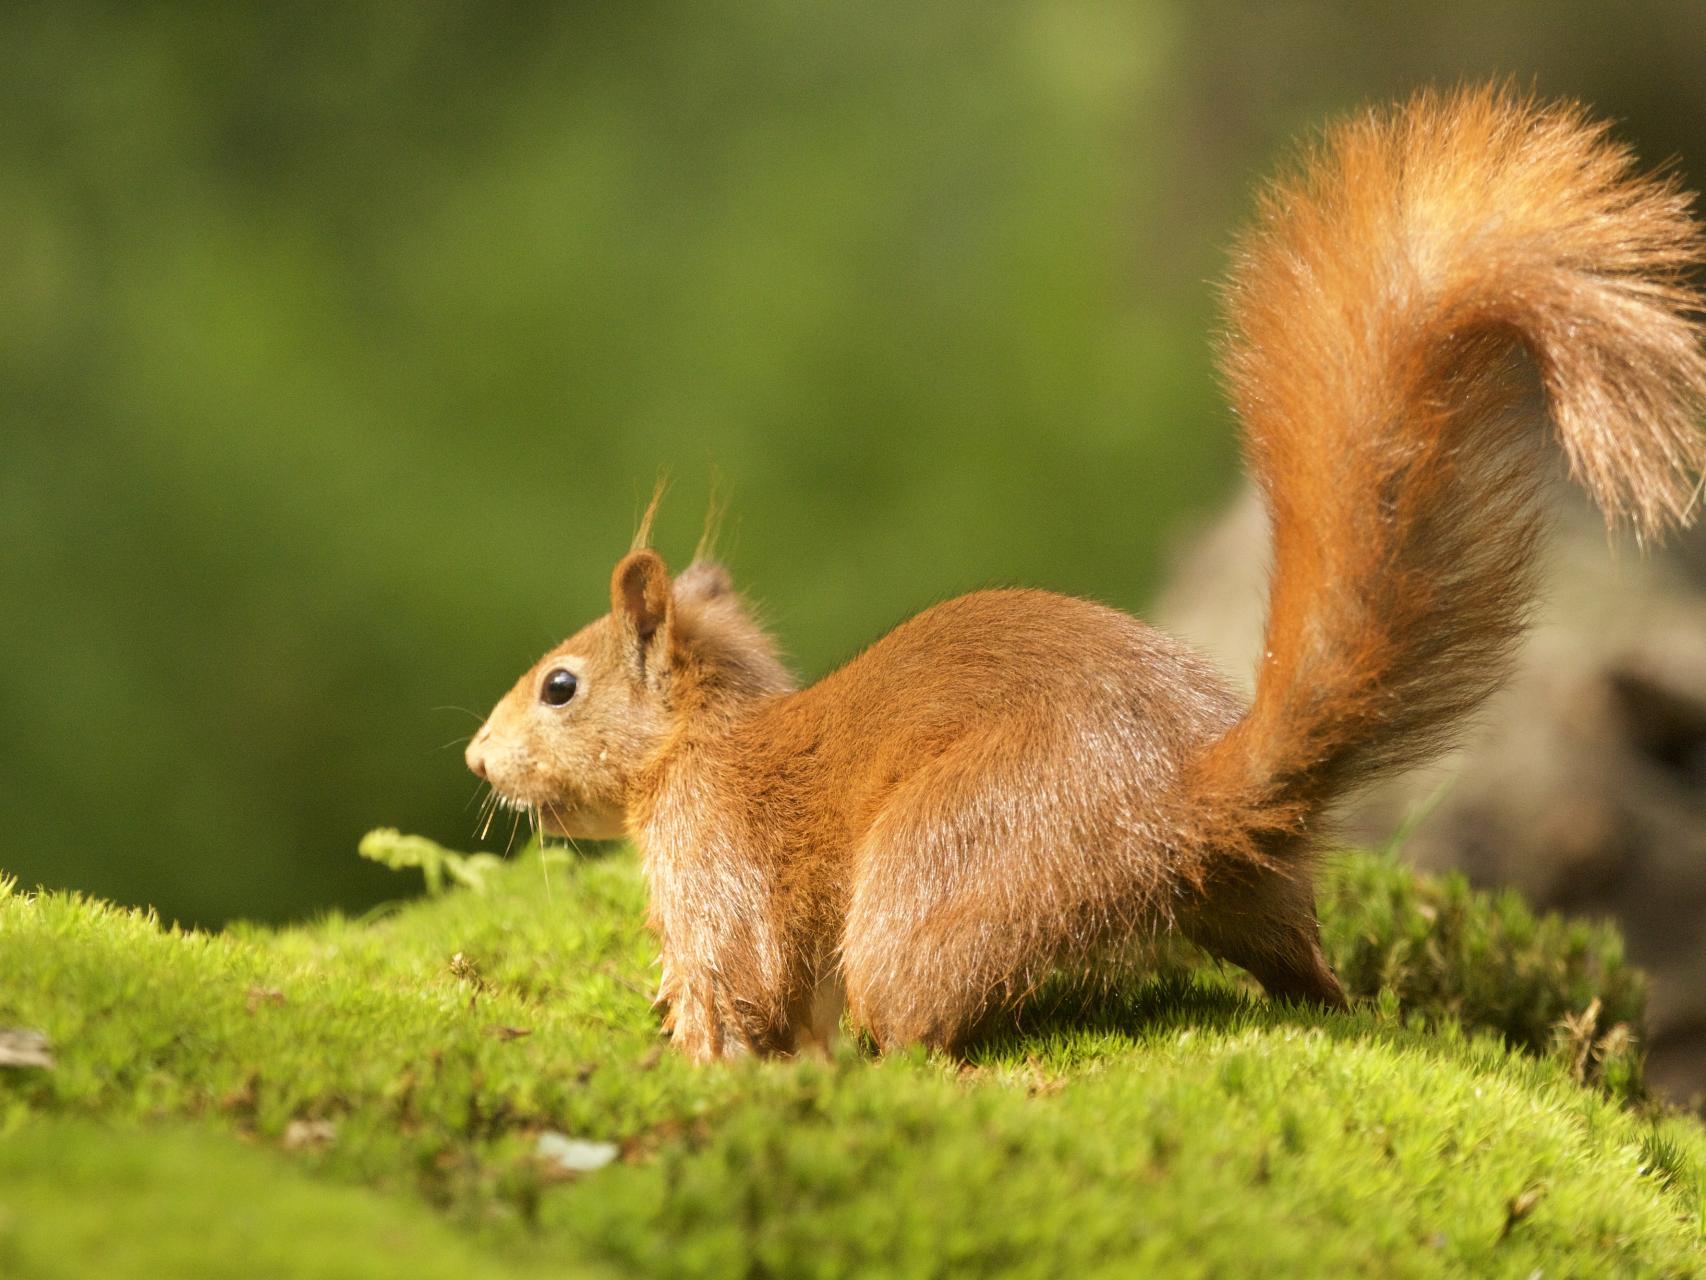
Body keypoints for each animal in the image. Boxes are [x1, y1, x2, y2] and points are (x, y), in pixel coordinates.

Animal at [467, 87, 1706, 1064]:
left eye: (559, 684)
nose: (476, 758)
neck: (701, 741)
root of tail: (1179, 798)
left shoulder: (718, 854)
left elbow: (740, 977)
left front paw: (689, 1046)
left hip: (945, 867)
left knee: (916, 1014)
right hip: (1249, 895)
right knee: (1302, 966)